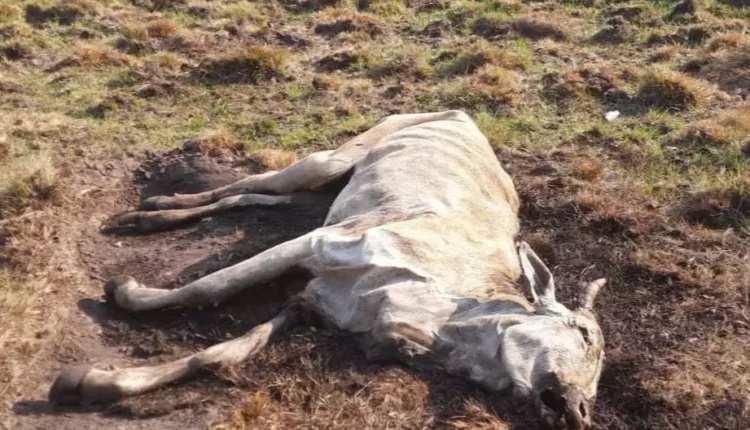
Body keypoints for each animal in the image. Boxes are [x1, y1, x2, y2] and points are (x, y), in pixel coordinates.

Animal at [50, 111, 608, 430]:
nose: (578, 412)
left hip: (324, 193)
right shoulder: (320, 246)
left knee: (260, 197)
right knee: (256, 182)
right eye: (583, 336)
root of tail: (461, 112)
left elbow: (226, 351)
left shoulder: (313, 302)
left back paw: (156, 213)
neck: (438, 316)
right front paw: (127, 293)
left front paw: (101, 383)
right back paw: (152, 208)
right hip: (332, 159)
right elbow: (210, 285)